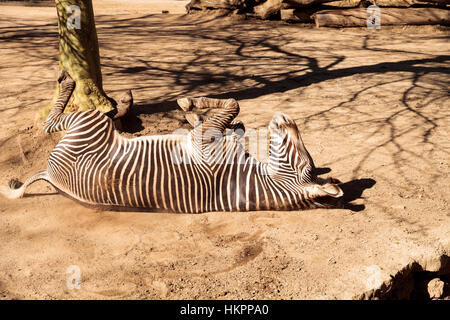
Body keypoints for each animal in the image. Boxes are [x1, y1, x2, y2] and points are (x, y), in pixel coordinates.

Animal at [1, 72, 342, 212]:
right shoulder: (210, 136)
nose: (286, 117)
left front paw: (191, 102)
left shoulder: (205, 140)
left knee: (51, 123)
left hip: (89, 123)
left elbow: (233, 103)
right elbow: (234, 118)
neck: (248, 177)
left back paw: (68, 80)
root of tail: (50, 174)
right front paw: (192, 110)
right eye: (306, 161)